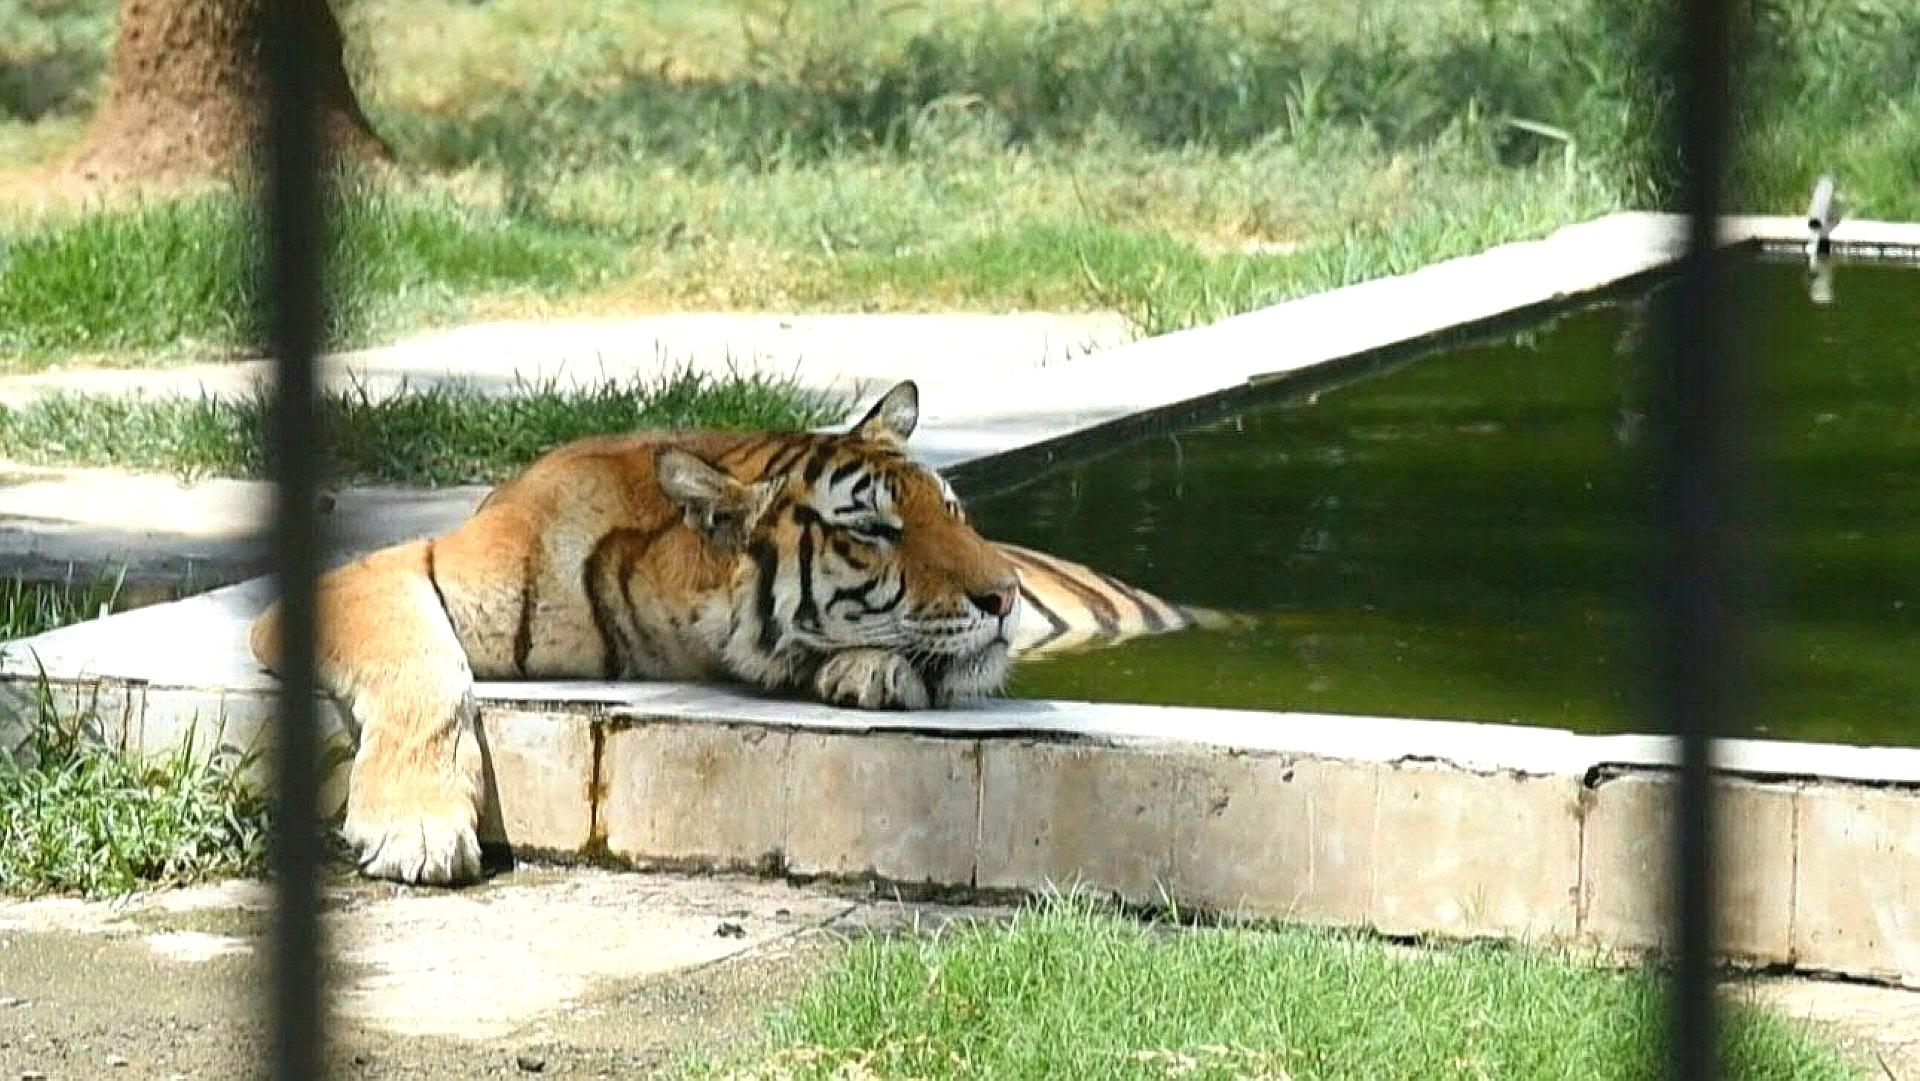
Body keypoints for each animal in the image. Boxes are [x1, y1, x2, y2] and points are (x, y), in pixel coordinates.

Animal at [251, 378, 1213, 879]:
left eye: (953, 512)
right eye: (874, 529)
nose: (1004, 596)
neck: (662, 628)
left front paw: (870, 671)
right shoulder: (372, 576)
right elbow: (425, 668)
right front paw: (415, 829)